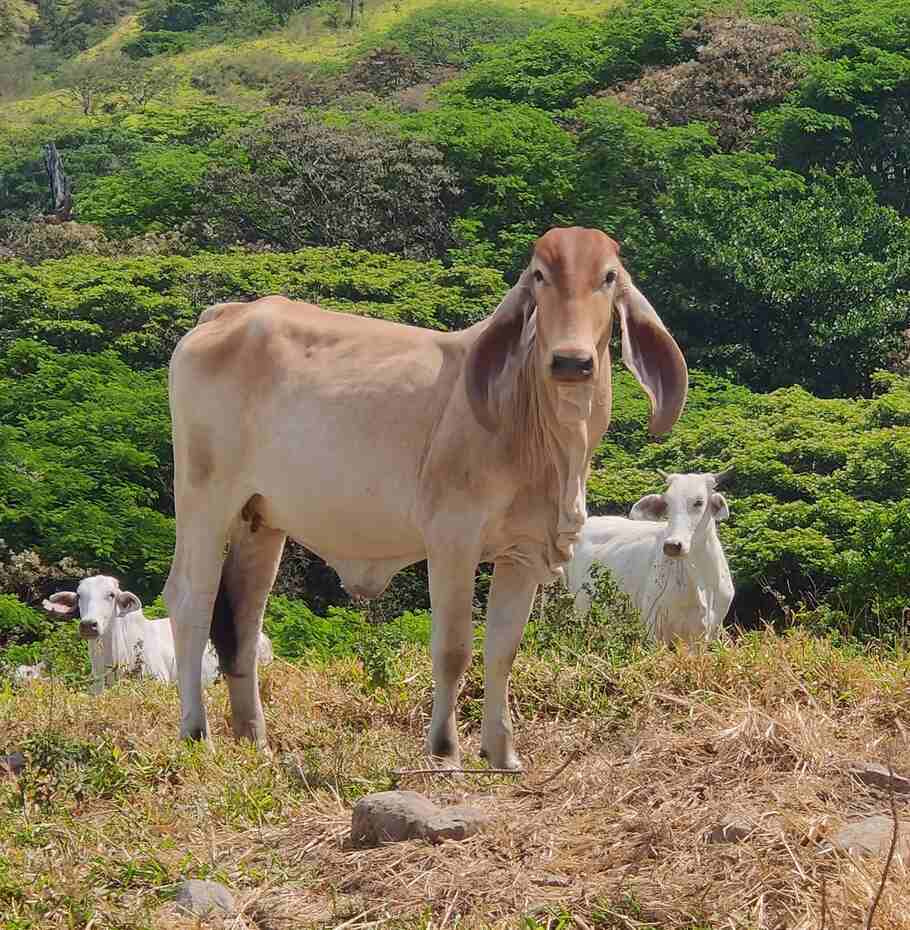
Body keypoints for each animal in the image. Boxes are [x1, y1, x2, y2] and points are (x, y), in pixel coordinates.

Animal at [164, 226, 688, 769]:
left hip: (260, 521)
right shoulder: (452, 540)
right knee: (190, 602)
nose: (571, 361)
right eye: (541, 276)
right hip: (204, 500)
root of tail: (223, 315)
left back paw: (256, 741)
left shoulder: (523, 552)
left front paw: (502, 753)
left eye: (608, 277)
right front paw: (444, 750)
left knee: (242, 622)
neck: (539, 432)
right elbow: (454, 649)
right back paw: (196, 733)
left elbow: (503, 650)